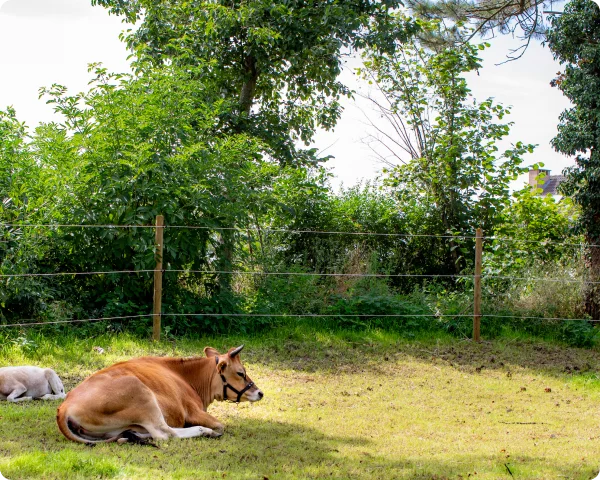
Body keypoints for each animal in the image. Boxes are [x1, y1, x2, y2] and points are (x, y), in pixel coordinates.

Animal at [56, 344, 262, 442]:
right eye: (240, 373)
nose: (260, 392)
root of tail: (64, 407)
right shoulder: (193, 411)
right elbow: (220, 426)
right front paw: (210, 430)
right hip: (141, 394)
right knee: (164, 433)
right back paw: (203, 431)